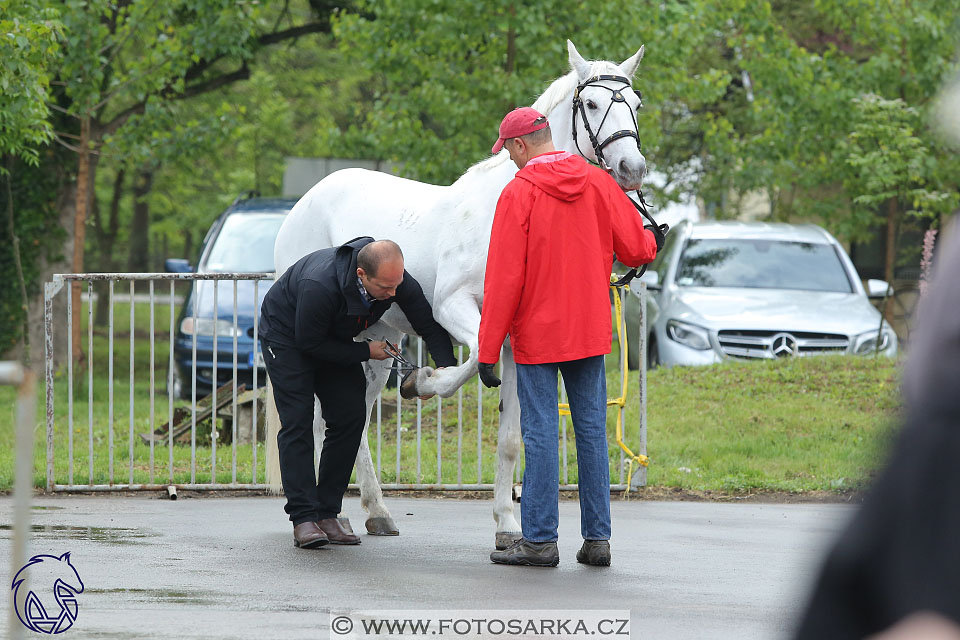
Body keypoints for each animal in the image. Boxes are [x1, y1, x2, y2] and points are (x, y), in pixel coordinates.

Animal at [266, 41, 648, 552]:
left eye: (636, 105)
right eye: (589, 104)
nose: (633, 169)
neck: (504, 210)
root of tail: (306, 200)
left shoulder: (514, 341)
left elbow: (510, 437)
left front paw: (507, 526)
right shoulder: (452, 307)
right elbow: (468, 364)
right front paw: (424, 382)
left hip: (373, 346)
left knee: (352, 421)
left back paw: (374, 512)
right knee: (315, 421)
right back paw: (320, 519)